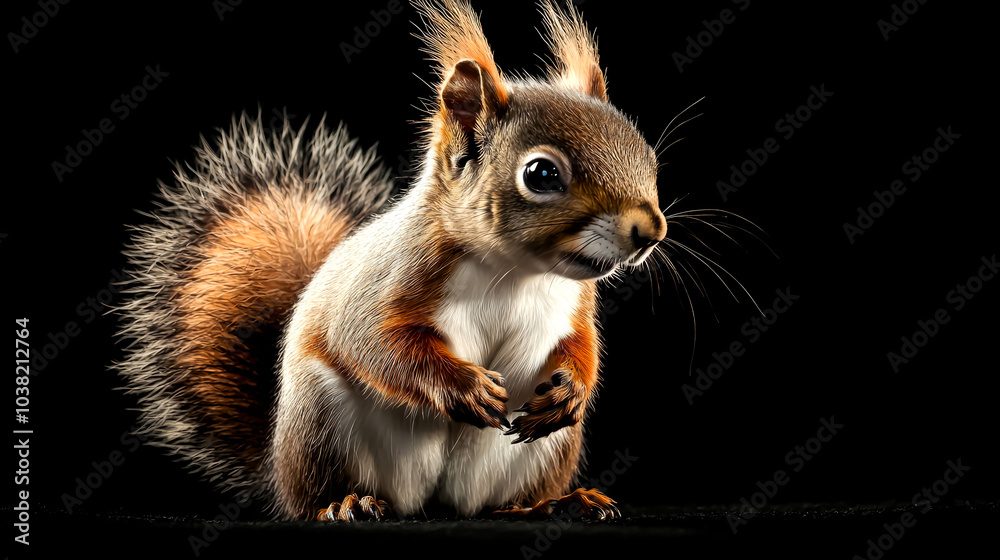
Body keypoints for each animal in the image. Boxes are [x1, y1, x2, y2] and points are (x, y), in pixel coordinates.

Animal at [115, 0, 668, 522]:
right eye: (541, 174)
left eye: (647, 156)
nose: (651, 231)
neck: (516, 273)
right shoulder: (391, 276)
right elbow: (373, 340)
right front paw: (464, 386)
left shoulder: (575, 303)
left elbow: (582, 345)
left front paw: (571, 391)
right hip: (323, 420)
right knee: (319, 493)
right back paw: (346, 504)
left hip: (545, 453)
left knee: (501, 502)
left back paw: (554, 504)